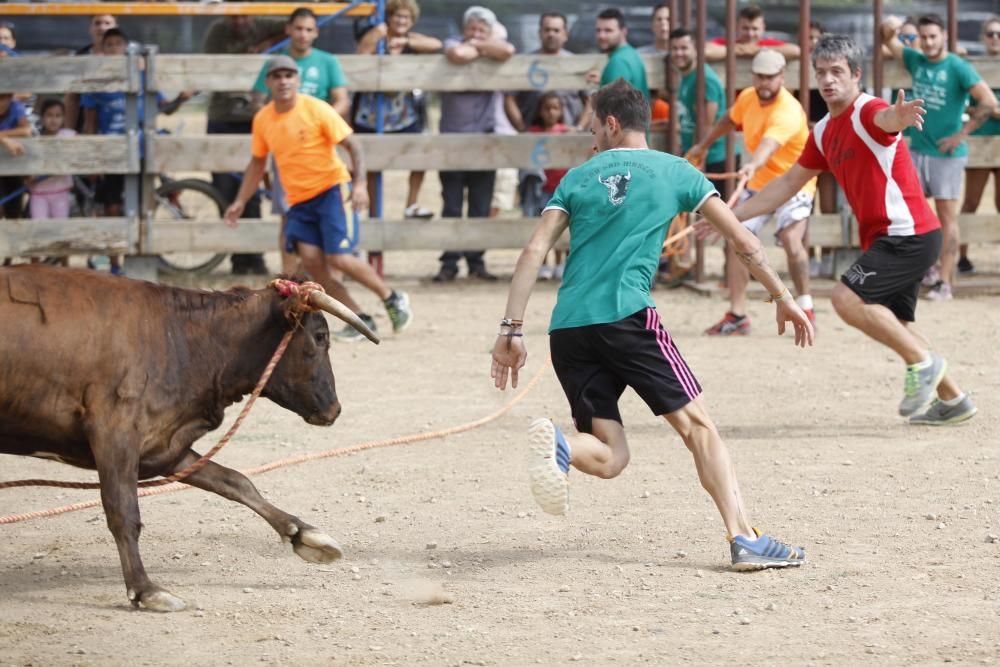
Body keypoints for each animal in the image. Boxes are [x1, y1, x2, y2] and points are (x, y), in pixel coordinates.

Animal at [0, 266, 376, 612]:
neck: (185, 339)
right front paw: (145, 589)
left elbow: (235, 482)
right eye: (320, 336)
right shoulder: (115, 433)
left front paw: (304, 535)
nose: (334, 408)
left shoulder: (164, 444)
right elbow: (123, 510)